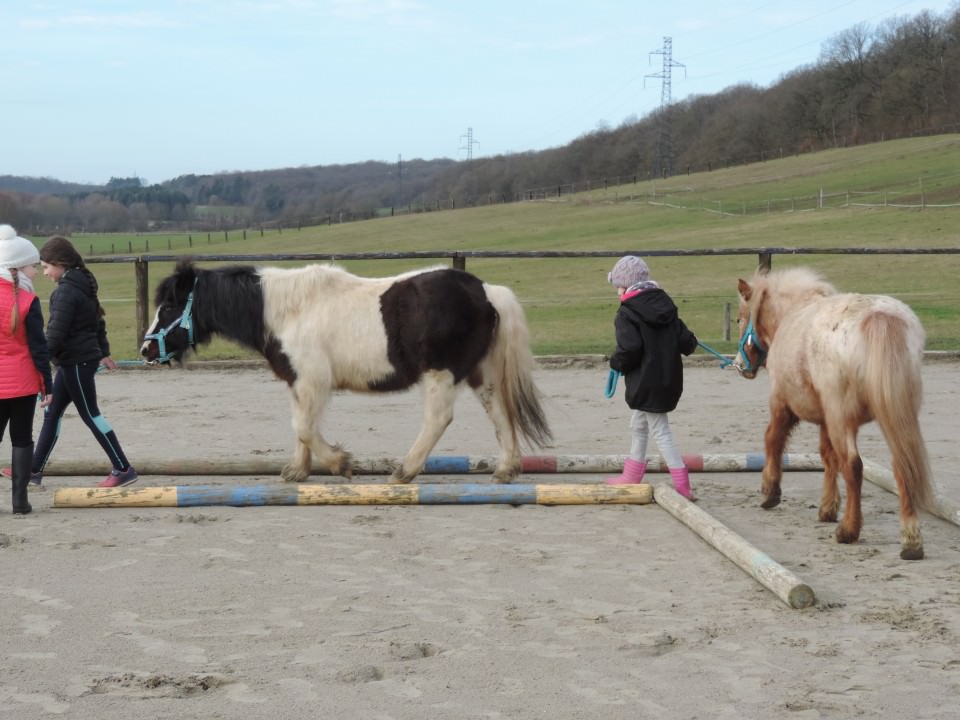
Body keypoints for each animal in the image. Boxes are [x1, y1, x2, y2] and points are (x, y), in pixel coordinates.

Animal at [139, 258, 552, 484]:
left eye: (170, 305)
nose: (145, 350)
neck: (287, 311)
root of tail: (486, 291)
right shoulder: (299, 382)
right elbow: (300, 427)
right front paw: (297, 471)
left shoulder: (313, 381)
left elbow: (304, 427)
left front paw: (341, 463)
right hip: (481, 374)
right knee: (500, 413)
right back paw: (505, 469)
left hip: (442, 374)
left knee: (438, 419)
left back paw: (403, 472)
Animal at [736, 268, 928, 560]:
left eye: (740, 317)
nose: (739, 365)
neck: (793, 313)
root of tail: (878, 316)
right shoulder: (826, 419)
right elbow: (828, 457)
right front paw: (827, 507)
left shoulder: (783, 405)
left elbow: (773, 440)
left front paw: (770, 490)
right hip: (896, 417)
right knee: (901, 466)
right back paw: (911, 540)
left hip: (844, 419)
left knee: (853, 466)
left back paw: (849, 530)